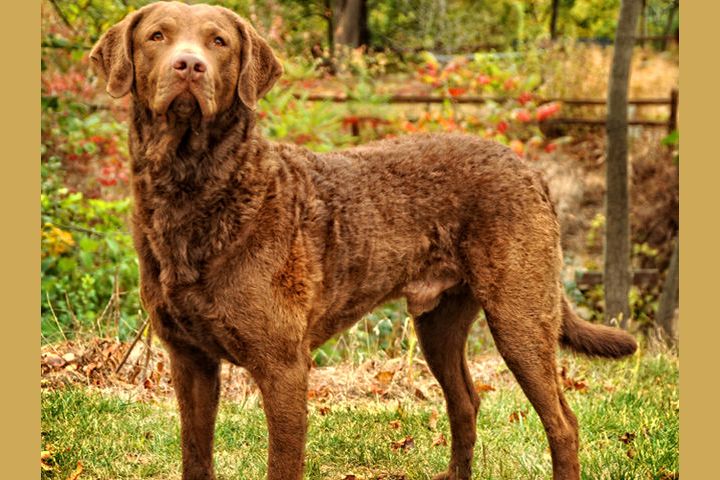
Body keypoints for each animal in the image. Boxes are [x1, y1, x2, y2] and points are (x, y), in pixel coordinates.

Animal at [90, 1, 636, 478]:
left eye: (218, 41)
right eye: (156, 36)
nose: (189, 65)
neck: (197, 189)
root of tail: (530, 169)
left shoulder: (284, 366)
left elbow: (282, 464)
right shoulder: (189, 360)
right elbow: (195, 457)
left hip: (520, 315)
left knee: (562, 422)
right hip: (439, 321)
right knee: (466, 401)